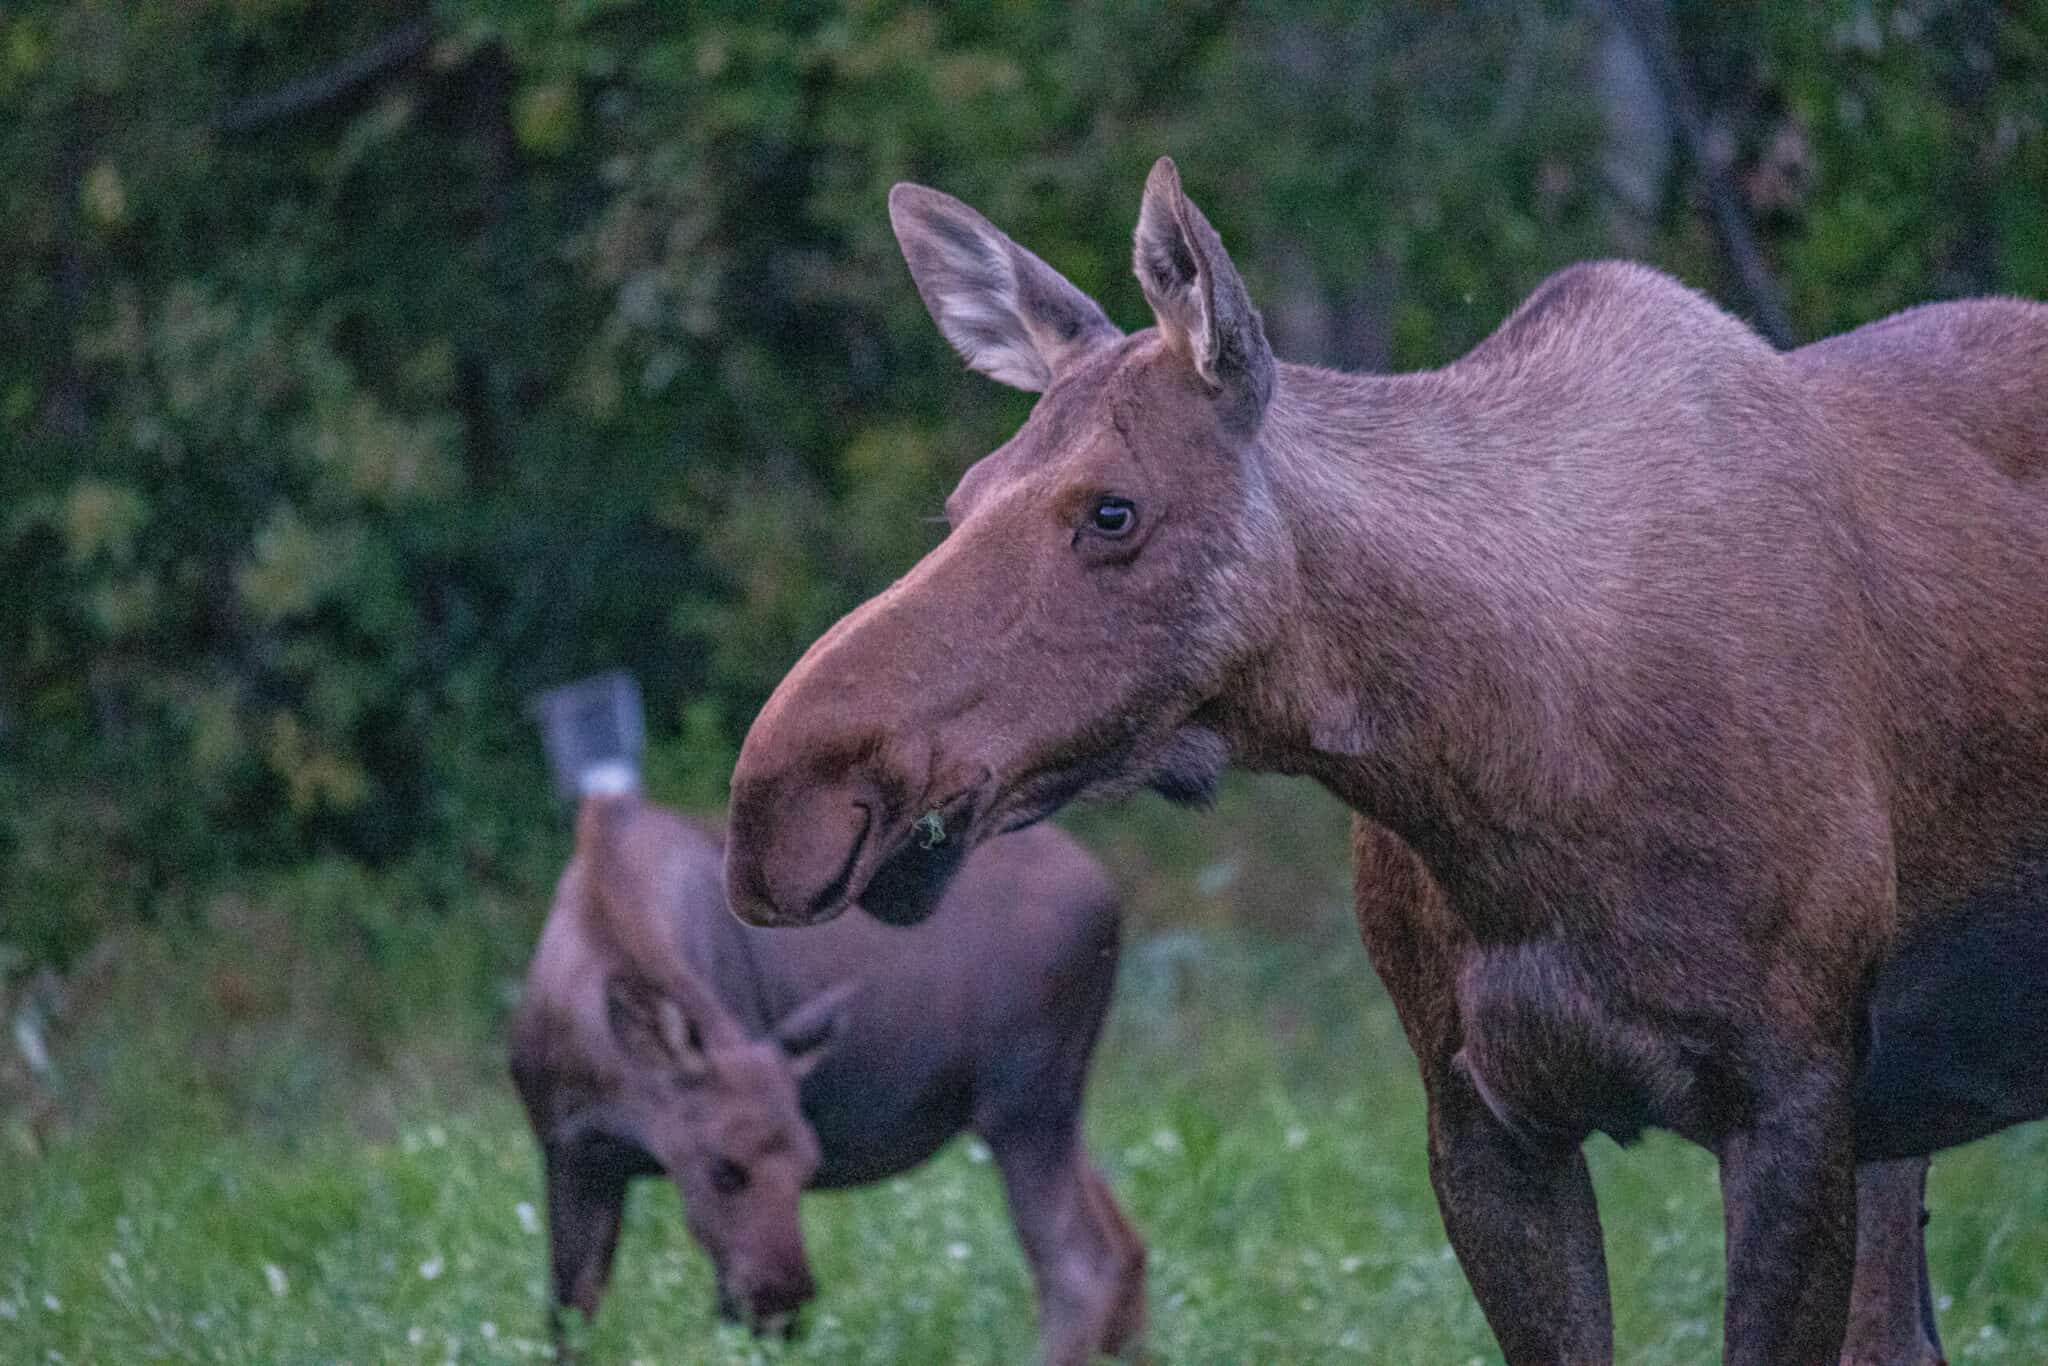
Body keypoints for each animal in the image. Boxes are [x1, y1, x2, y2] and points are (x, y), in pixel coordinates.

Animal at [508, 693, 1143, 1364]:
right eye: (722, 1168)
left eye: (809, 1162)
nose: (787, 1301)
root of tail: (1112, 903)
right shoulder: (571, 1154)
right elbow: (568, 1321)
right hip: (1053, 1101)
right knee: (1125, 1244)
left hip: (1026, 1099)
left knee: (1081, 1261)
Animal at [717, 158, 2048, 1363]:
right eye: (960, 498)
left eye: (1112, 509)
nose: (780, 803)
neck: (1508, 790)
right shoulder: (1477, 1116)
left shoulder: (1788, 1096)